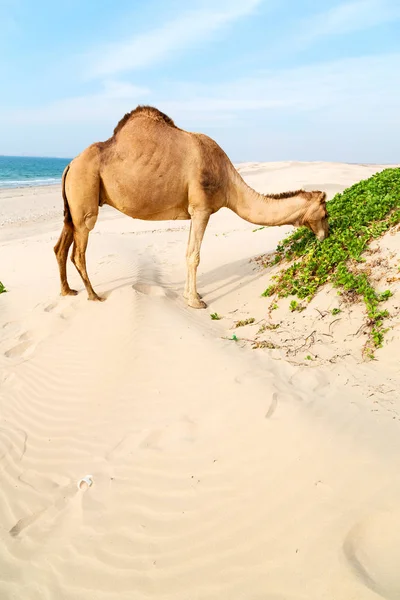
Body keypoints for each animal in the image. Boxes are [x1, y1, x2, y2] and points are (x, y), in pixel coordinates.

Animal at [53, 105, 328, 308]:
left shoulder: (193, 213)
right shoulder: (201, 208)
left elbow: (187, 252)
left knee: (61, 247)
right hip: (85, 196)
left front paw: (189, 296)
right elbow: (194, 255)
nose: (326, 235)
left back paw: (68, 291)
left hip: (71, 207)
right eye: (325, 213)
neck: (228, 181)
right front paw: (196, 302)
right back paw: (94, 295)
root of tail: (70, 164)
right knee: (79, 251)